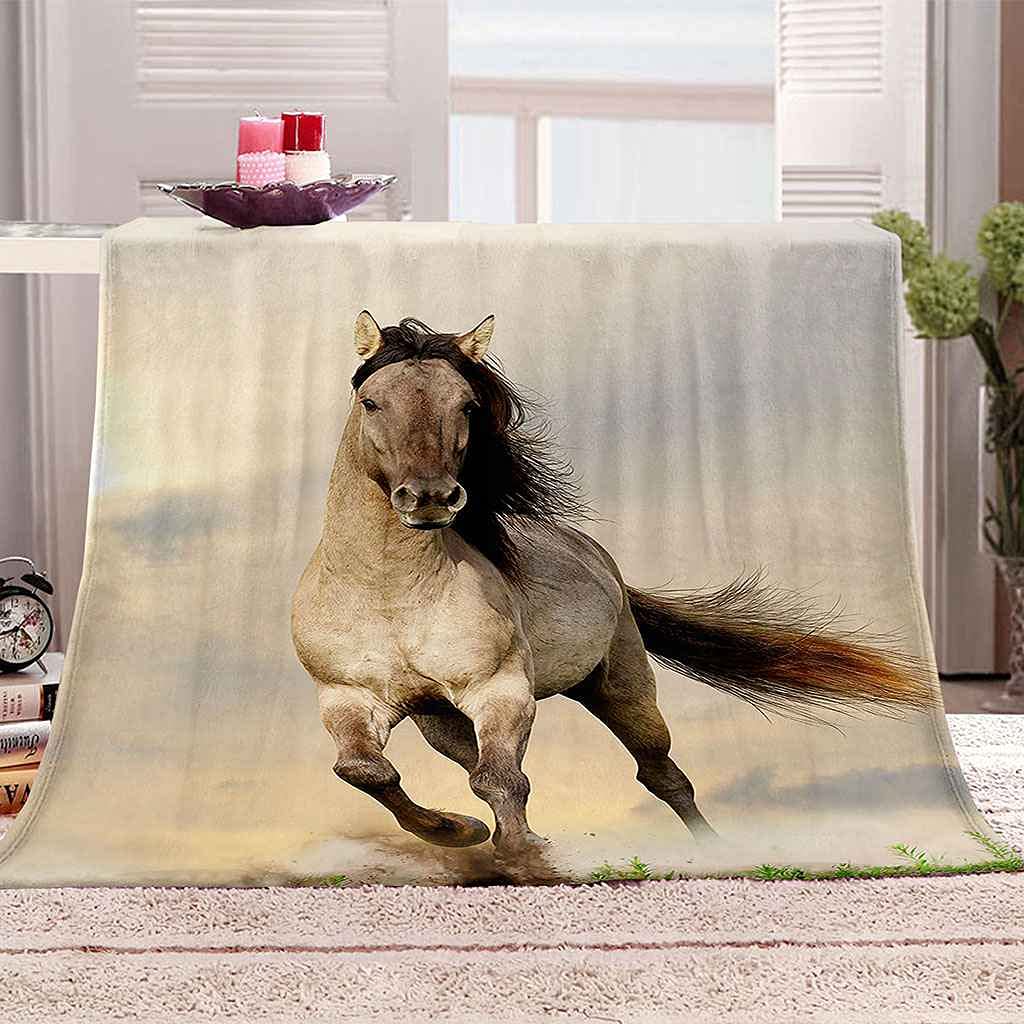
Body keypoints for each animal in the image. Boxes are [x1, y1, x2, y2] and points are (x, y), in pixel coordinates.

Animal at [291, 312, 935, 871]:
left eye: (467, 405)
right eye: (372, 402)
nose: (429, 498)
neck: (390, 594)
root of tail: (604, 564)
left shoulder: (500, 690)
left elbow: (500, 779)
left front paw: (525, 855)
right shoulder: (347, 699)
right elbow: (367, 772)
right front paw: (457, 831)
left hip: (623, 689)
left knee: (662, 776)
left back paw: (716, 852)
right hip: (441, 721)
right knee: (471, 764)